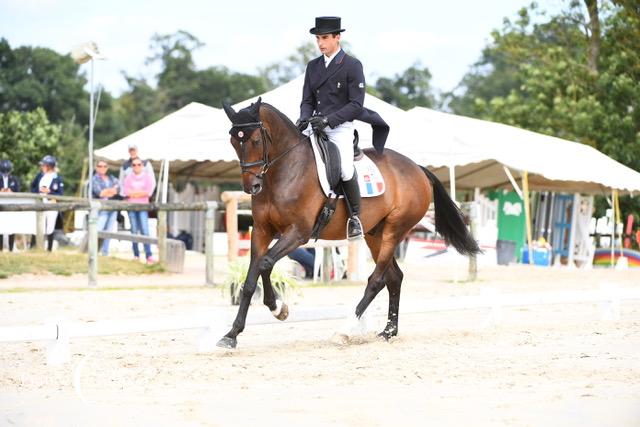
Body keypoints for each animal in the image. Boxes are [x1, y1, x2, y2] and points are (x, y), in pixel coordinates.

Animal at [220, 98, 480, 350]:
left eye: (255, 140)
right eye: (233, 141)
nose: (251, 186)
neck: (284, 171)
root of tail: (418, 168)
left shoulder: (298, 233)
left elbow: (265, 263)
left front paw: (278, 309)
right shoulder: (262, 231)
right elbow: (251, 279)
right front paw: (232, 334)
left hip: (395, 230)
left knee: (376, 281)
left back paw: (344, 331)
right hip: (375, 234)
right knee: (394, 277)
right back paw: (388, 332)